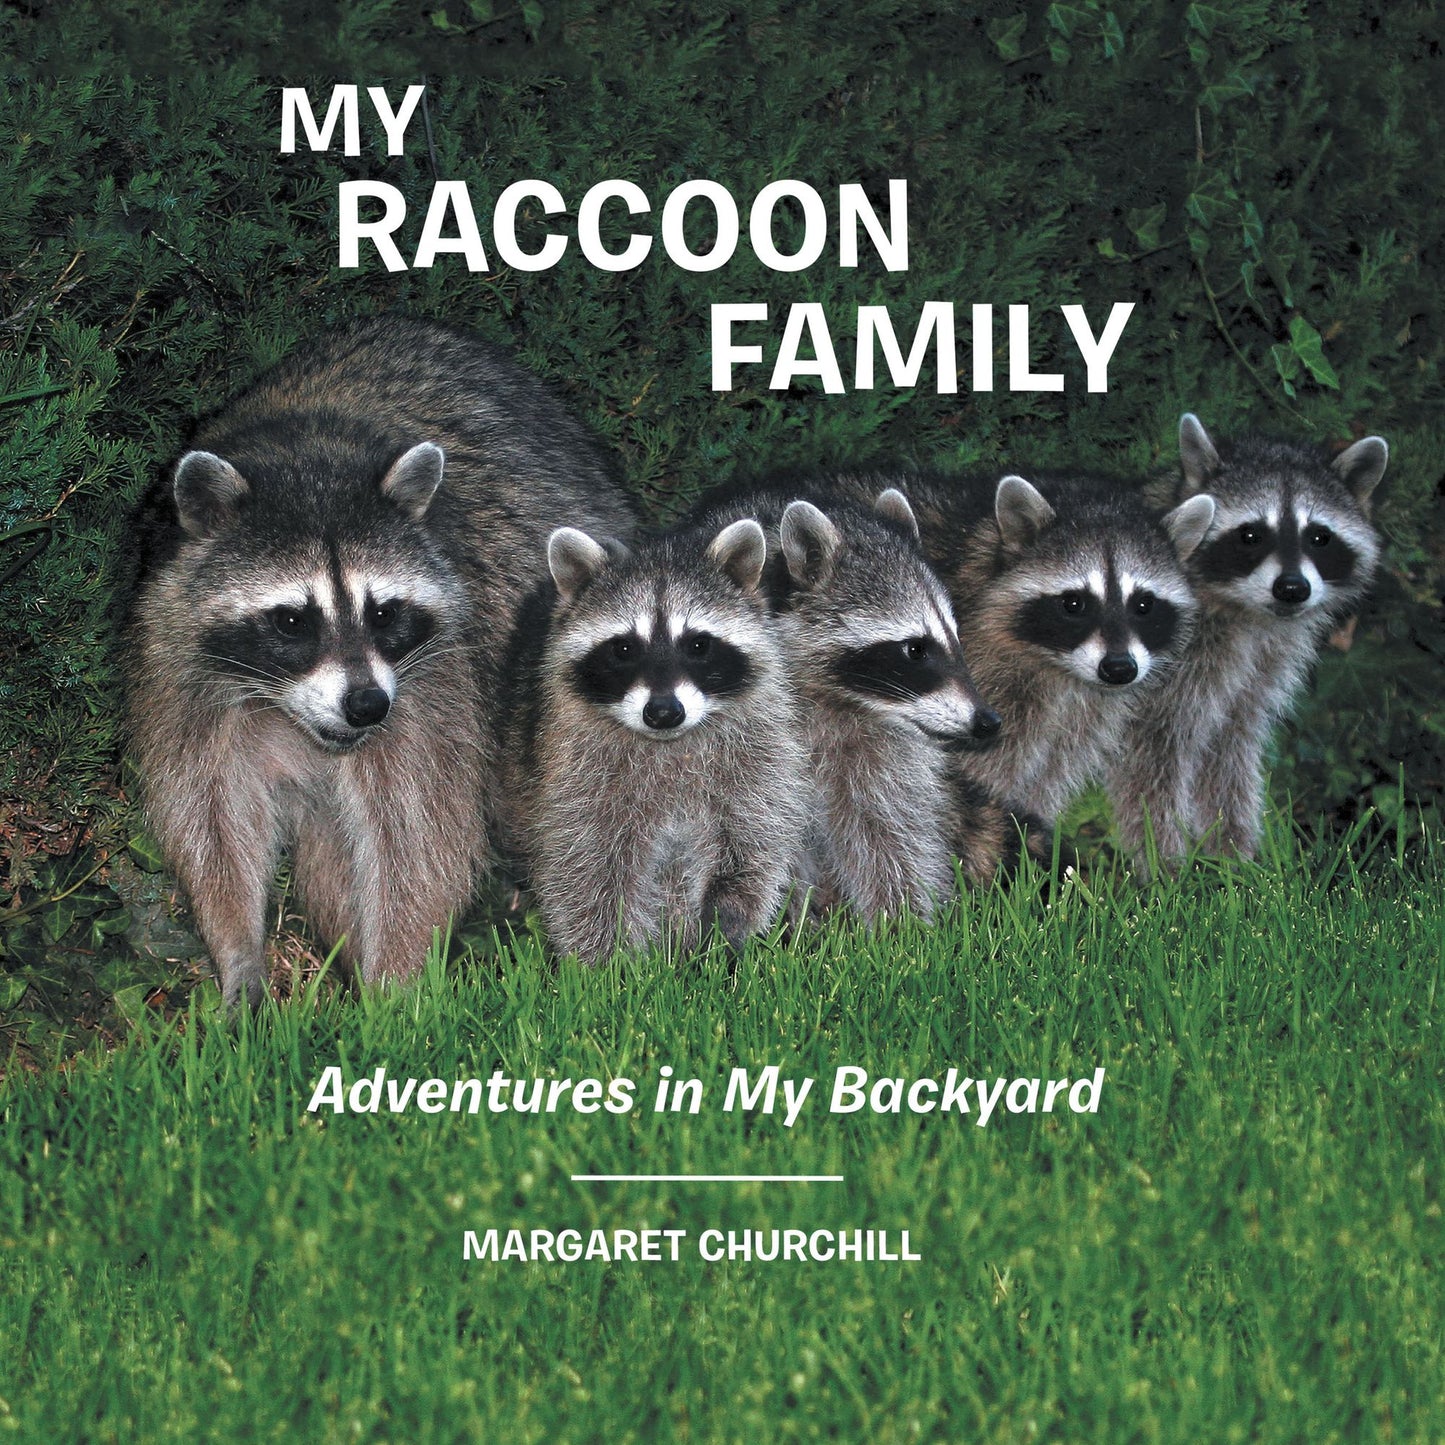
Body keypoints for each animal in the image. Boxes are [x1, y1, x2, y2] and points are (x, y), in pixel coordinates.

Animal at [126, 316, 637, 1008]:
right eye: (293, 620)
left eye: (385, 613)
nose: (366, 705)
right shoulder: (177, 662)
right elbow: (211, 817)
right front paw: (238, 953)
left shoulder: (438, 680)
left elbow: (419, 838)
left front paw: (395, 988)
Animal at [500, 519, 809, 964]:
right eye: (624, 648)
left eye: (698, 644)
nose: (663, 712)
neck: (668, 742)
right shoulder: (576, 774)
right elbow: (583, 870)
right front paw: (609, 964)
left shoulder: (756, 760)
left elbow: (749, 850)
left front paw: (721, 936)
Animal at [829, 471, 1215, 825]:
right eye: (1074, 604)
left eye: (1144, 605)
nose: (1119, 668)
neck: (1058, 667)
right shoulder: (978, 682)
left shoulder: (1079, 712)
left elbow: (1048, 774)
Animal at [1106, 414, 1386, 864]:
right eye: (1251, 535)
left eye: (1319, 537)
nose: (1292, 588)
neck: (1248, 614)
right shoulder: (1168, 671)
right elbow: (1150, 760)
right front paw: (1165, 862)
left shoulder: (1257, 669)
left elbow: (1228, 748)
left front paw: (1235, 856)